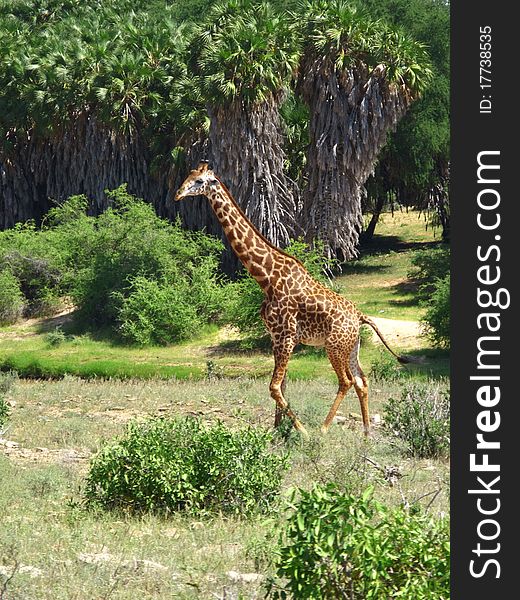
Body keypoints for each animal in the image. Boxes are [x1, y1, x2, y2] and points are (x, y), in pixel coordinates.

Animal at [176, 163, 410, 436]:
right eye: (188, 177)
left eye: (199, 181)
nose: (177, 194)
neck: (266, 277)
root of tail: (360, 316)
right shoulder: (276, 337)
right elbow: (283, 385)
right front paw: (277, 430)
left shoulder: (286, 336)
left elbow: (274, 387)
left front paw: (300, 431)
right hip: (352, 346)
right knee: (362, 380)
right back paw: (366, 433)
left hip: (333, 346)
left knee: (346, 381)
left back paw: (322, 429)